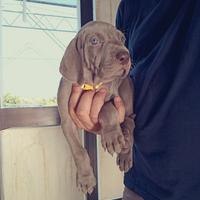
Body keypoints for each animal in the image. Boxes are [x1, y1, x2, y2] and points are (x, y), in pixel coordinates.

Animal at [57, 20, 135, 194]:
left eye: (122, 38)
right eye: (94, 41)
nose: (125, 56)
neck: (91, 84)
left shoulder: (111, 97)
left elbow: (107, 109)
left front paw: (112, 136)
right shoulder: (67, 122)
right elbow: (79, 152)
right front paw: (86, 179)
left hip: (126, 92)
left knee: (130, 122)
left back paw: (125, 149)